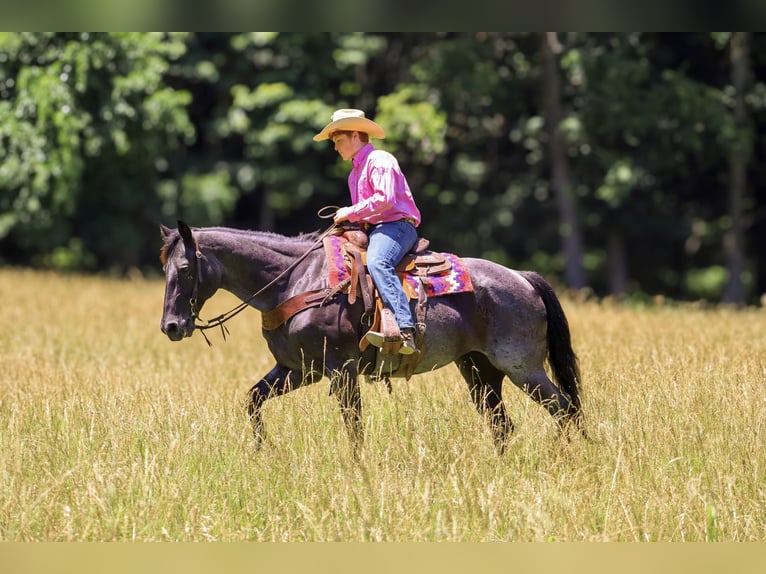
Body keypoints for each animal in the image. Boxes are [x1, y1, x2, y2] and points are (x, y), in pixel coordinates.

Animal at [159, 220, 584, 454]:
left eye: (185, 268)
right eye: (164, 269)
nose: (171, 327)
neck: (295, 281)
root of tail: (522, 278)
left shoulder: (341, 370)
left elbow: (354, 426)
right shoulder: (298, 369)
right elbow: (253, 400)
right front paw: (263, 452)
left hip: (523, 368)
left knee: (565, 409)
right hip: (480, 371)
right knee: (502, 424)